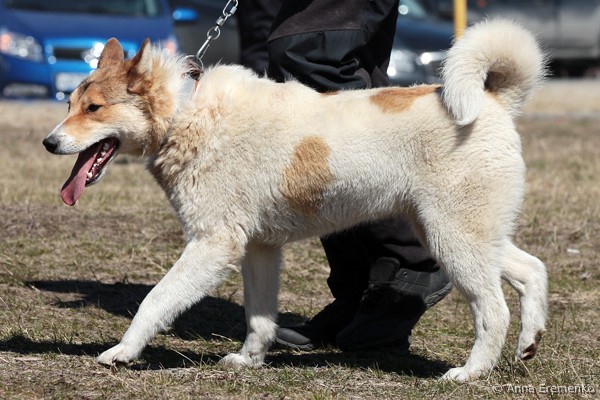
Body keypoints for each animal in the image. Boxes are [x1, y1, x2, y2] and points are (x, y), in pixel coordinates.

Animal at [43, 20, 548, 381]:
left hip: (453, 240)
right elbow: (259, 317)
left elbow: (155, 300)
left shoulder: (213, 244)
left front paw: (122, 351)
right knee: (532, 271)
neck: (188, 112)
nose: (49, 142)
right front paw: (250, 361)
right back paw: (529, 341)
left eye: (94, 109)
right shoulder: (259, 249)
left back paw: (470, 372)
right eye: (69, 104)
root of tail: (493, 101)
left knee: (494, 310)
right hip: (465, 236)